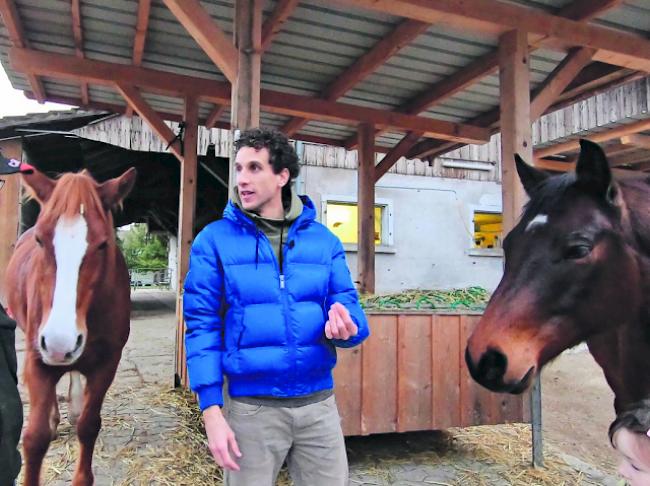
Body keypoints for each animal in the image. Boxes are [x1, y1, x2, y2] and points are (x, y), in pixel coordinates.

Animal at [6, 165, 136, 484]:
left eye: (103, 244)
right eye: (40, 240)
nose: (58, 343)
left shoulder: (107, 364)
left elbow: (89, 425)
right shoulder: (37, 360)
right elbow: (35, 437)